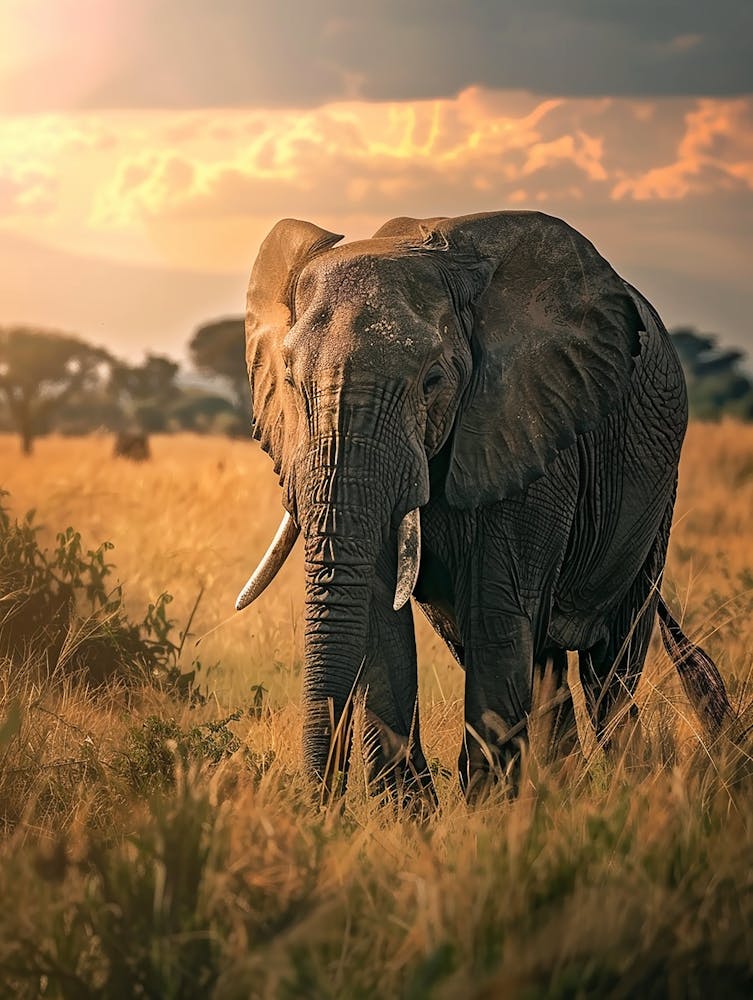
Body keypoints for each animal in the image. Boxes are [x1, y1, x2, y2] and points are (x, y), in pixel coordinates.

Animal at [235, 210, 731, 803]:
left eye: (432, 381)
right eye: (290, 382)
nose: (320, 804)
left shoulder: (531, 429)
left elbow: (496, 608)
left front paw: (486, 811)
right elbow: (381, 613)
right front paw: (411, 814)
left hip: (655, 496)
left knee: (610, 659)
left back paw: (622, 787)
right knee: (541, 663)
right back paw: (560, 793)